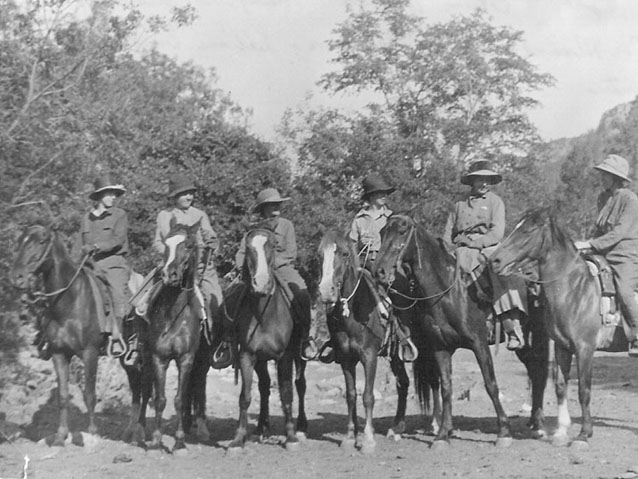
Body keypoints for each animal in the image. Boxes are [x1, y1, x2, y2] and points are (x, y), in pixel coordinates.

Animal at [11, 225, 146, 446]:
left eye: (41, 242)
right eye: (20, 241)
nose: (17, 278)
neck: (70, 301)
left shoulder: (90, 353)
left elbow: (89, 394)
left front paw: (91, 432)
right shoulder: (59, 354)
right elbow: (63, 396)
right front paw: (61, 435)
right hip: (127, 359)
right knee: (136, 386)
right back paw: (130, 433)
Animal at [229, 231, 308, 452]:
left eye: (273, 246)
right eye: (248, 248)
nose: (261, 285)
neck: (265, 314)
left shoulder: (285, 357)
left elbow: (287, 393)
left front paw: (291, 437)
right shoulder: (247, 356)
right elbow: (245, 397)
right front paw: (238, 438)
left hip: (299, 356)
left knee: (300, 385)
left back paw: (302, 425)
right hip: (261, 360)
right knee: (264, 386)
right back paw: (262, 426)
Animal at [318, 232, 442, 454]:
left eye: (344, 253)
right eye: (319, 255)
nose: (326, 291)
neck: (355, 312)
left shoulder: (369, 356)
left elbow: (368, 396)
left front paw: (368, 440)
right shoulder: (346, 359)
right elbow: (351, 395)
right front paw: (350, 437)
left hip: (429, 348)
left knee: (433, 380)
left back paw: (435, 423)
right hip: (396, 354)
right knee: (404, 383)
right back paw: (397, 427)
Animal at [376, 216, 552, 448]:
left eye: (402, 231)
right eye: (382, 232)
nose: (379, 271)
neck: (451, 293)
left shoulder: (479, 344)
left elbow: (491, 384)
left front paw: (504, 432)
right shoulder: (440, 348)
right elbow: (445, 387)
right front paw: (443, 433)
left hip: (537, 336)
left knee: (539, 373)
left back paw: (540, 425)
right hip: (523, 345)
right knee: (533, 371)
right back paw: (533, 421)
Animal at [490, 208, 632, 448]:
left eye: (528, 230)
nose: (494, 260)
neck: (575, 289)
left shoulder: (585, 349)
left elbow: (584, 390)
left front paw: (584, 434)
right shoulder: (562, 347)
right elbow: (560, 386)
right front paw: (561, 431)